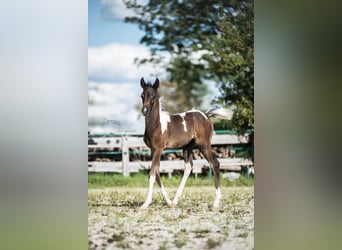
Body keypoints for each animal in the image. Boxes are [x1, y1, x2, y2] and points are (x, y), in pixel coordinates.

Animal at [139, 76, 232, 209]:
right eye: (142, 95)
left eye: (153, 96)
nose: (145, 111)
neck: (156, 125)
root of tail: (206, 115)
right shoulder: (153, 150)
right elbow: (156, 173)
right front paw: (168, 201)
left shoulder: (158, 149)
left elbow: (152, 173)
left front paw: (145, 203)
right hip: (187, 147)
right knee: (188, 167)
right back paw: (174, 201)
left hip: (204, 145)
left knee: (215, 164)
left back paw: (216, 202)